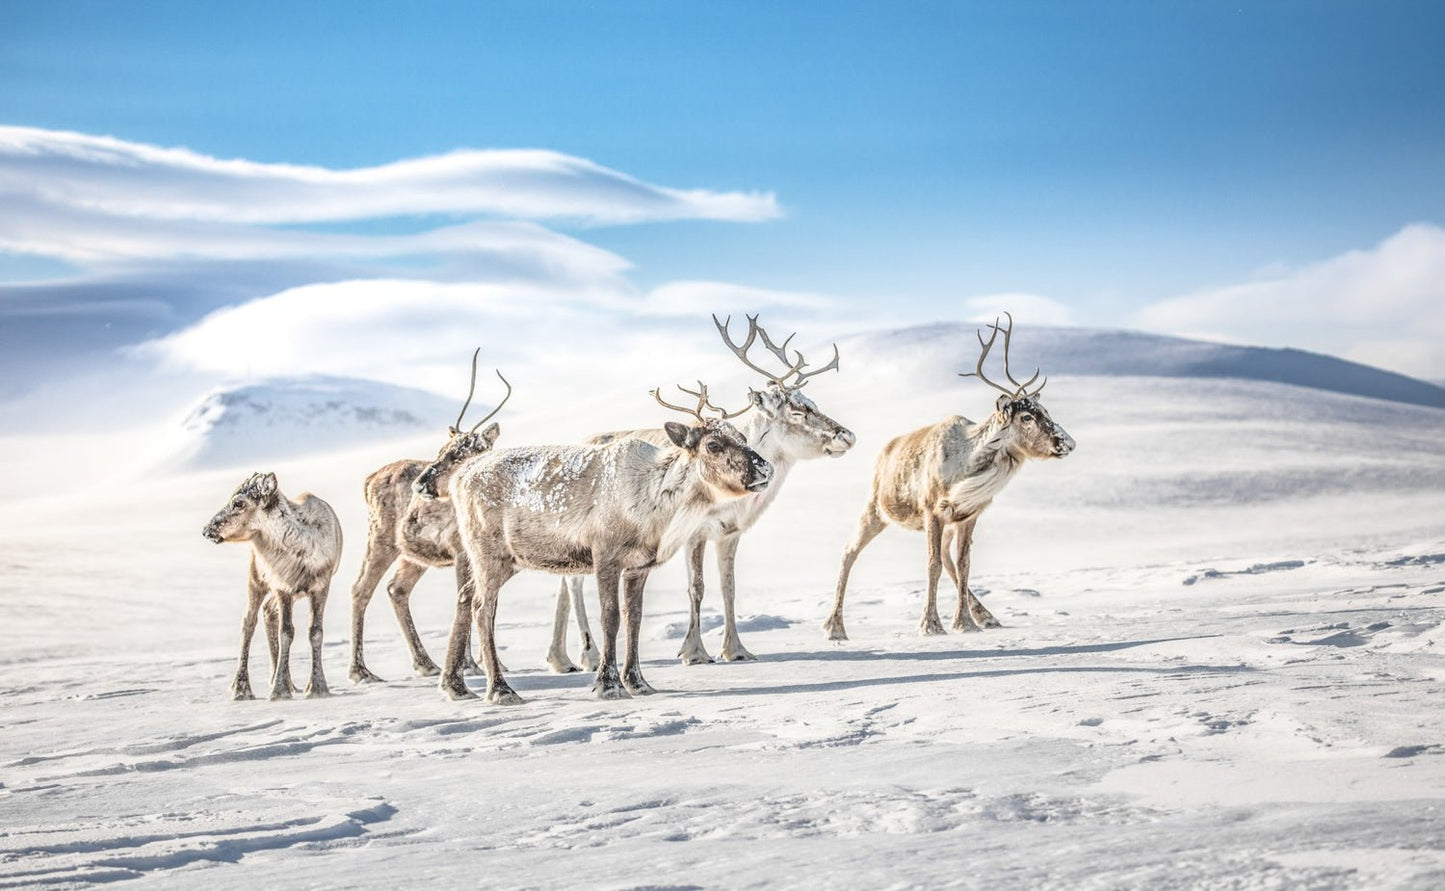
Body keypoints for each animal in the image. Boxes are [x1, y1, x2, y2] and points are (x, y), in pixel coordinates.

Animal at [203, 476, 343, 698]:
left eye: (238, 502)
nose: (207, 530)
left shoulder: (321, 586)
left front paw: (317, 687)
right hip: (256, 578)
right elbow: (286, 632)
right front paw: (279, 690)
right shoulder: (282, 587)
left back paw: (288, 683)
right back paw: (241, 688)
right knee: (248, 621)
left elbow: (315, 632)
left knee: (268, 611)